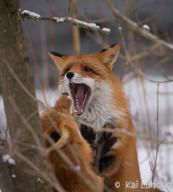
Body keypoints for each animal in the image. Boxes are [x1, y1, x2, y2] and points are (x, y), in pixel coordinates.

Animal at [49, 44, 160, 191]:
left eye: (87, 69)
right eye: (67, 70)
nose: (69, 75)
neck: (95, 121)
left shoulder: (117, 147)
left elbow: (102, 165)